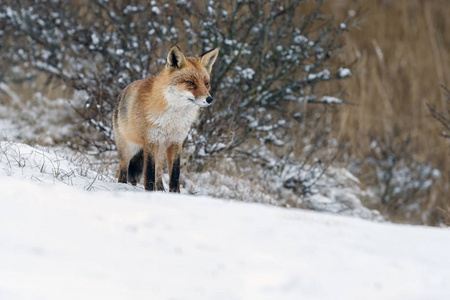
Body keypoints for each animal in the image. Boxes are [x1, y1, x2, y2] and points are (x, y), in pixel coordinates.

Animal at [112, 46, 218, 193]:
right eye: (190, 83)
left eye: (206, 83)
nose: (209, 99)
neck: (173, 120)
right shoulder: (150, 141)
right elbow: (149, 172)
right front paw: (150, 192)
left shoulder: (176, 142)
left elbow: (174, 174)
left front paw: (174, 194)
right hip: (129, 148)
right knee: (123, 167)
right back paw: (122, 184)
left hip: (161, 150)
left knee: (159, 171)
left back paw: (160, 189)